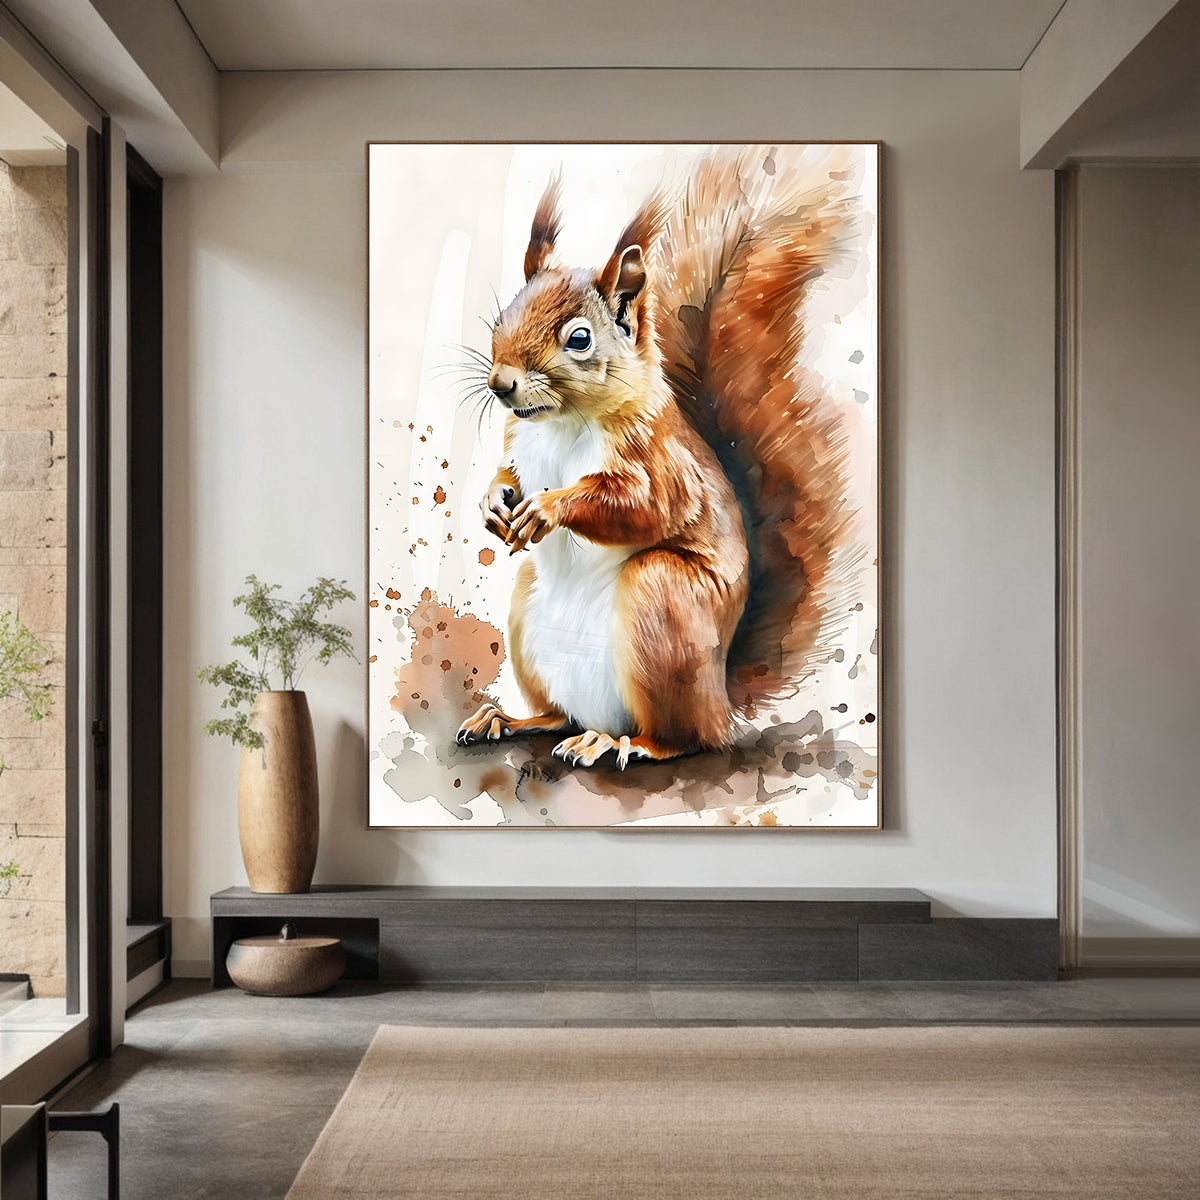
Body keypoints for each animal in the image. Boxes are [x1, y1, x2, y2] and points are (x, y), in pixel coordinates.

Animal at [457, 145, 861, 770]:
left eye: (579, 339)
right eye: (501, 319)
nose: (501, 384)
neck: (561, 421)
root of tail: (720, 700)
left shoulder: (662, 462)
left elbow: (643, 507)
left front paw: (548, 508)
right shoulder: (516, 443)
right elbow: (508, 474)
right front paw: (494, 503)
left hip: (662, 602)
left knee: (681, 739)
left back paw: (619, 743)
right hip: (528, 613)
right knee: (557, 716)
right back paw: (508, 720)